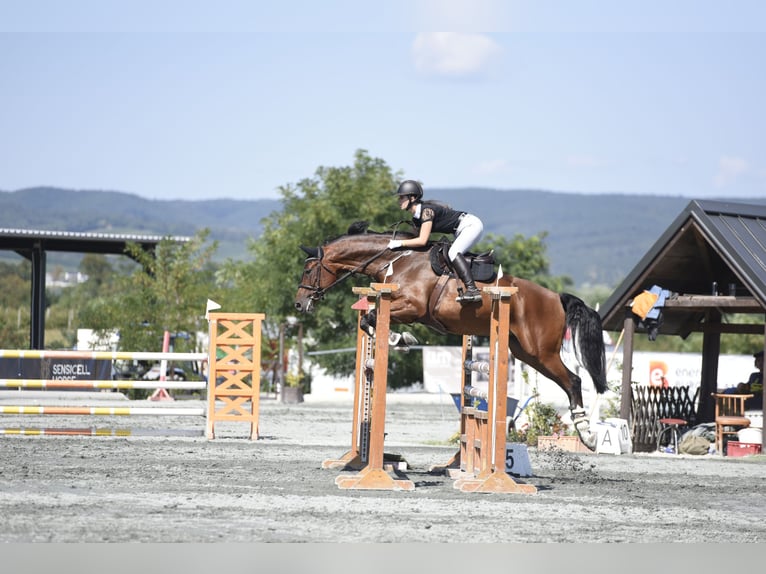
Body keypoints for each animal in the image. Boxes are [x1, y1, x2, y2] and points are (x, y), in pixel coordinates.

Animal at [296, 223, 608, 452]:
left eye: (308, 269)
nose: (300, 304)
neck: (396, 260)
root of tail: (556, 297)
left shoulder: (412, 306)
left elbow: (373, 317)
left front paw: (401, 339)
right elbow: (369, 320)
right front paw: (399, 339)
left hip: (541, 351)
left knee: (573, 380)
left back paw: (588, 436)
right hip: (527, 353)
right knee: (568, 381)